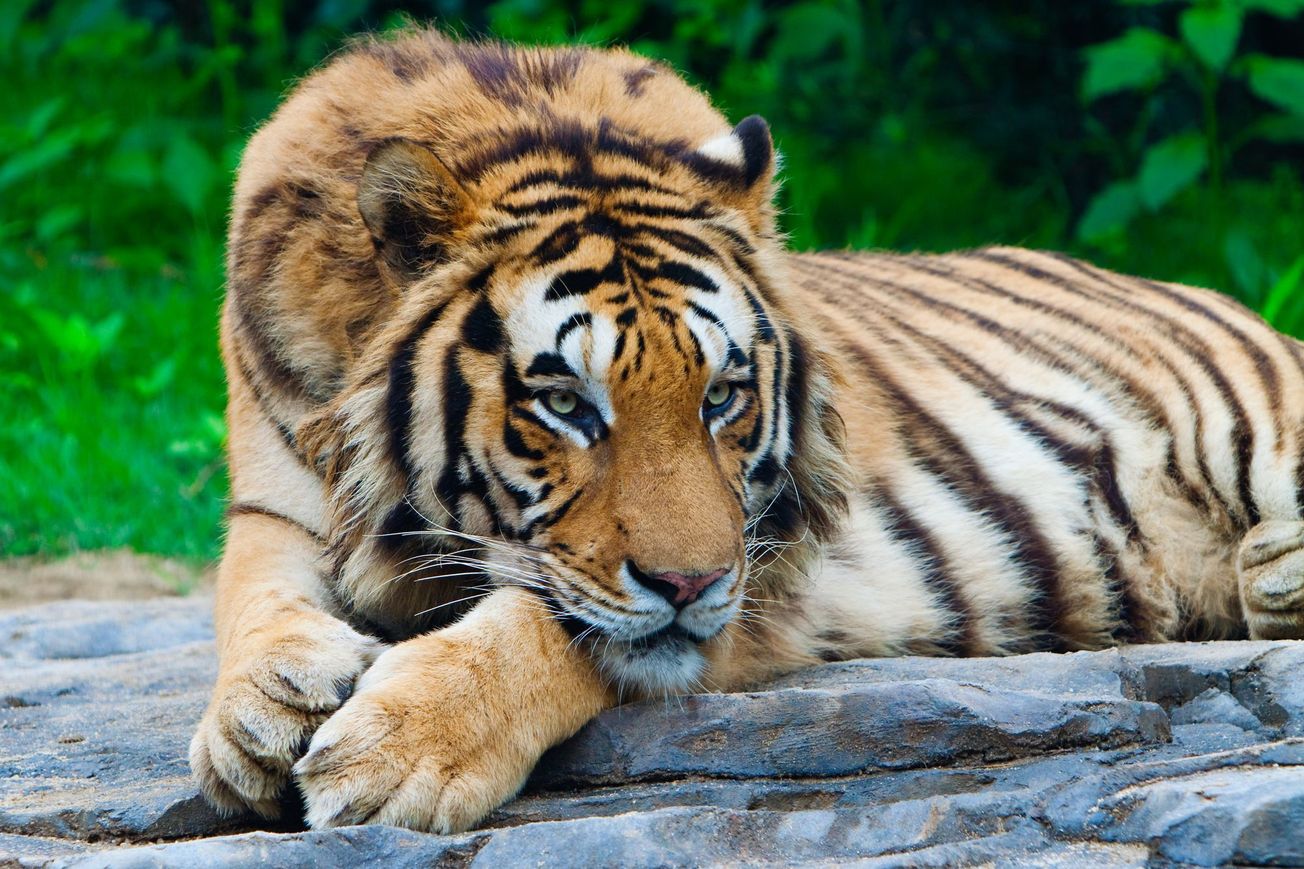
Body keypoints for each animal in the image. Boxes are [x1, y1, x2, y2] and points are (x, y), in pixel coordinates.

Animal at [189, 28, 1304, 835]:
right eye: (566, 404)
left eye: (722, 395)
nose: (689, 583)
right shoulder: (273, 501)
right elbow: (251, 595)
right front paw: (256, 718)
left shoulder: (767, 558)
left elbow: (549, 623)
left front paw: (396, 754)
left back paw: (1276, 569)